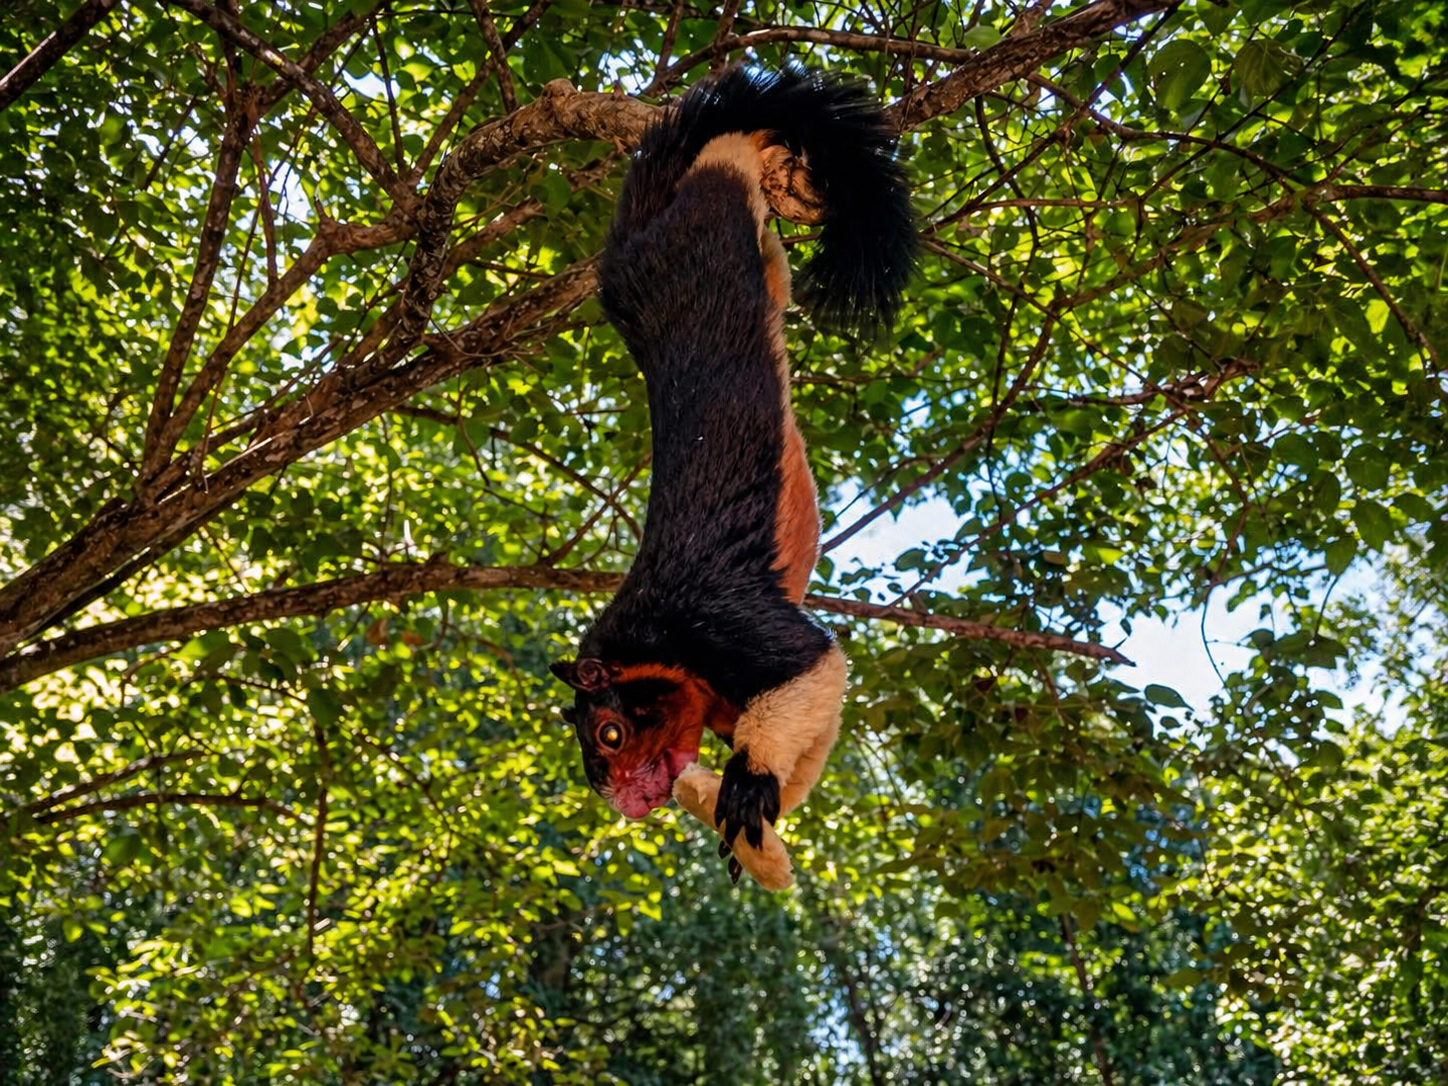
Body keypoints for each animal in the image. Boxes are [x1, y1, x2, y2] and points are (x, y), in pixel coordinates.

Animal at [551, 66, 916, 885]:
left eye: (610, 733)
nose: (629, 802)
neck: (654, 649)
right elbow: (814, 737)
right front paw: (758, 820)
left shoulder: (717, 621)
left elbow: (812, 666)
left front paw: (748, 787)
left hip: (713, 214)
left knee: (727, 162)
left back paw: (750, 147)